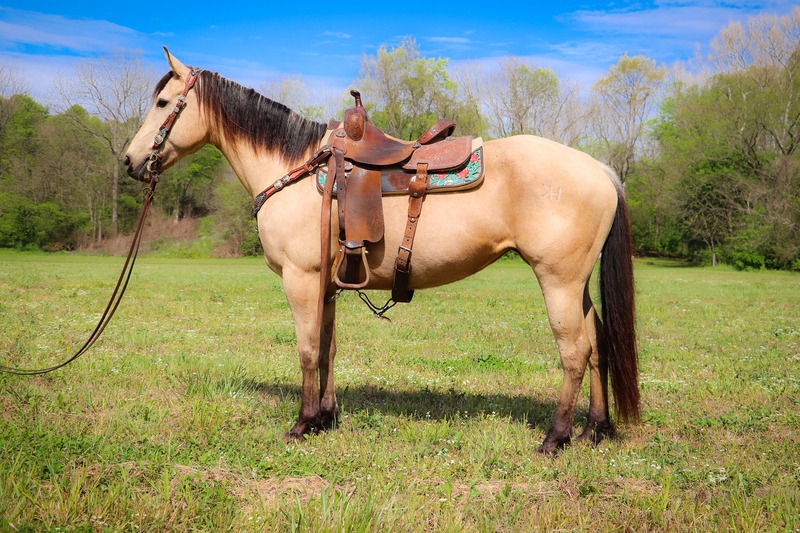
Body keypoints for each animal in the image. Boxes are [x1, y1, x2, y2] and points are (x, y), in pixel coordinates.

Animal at [124, 49, 639, 454]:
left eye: (164, 102)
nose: (130, 161)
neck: (295, 167)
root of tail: (600, 169)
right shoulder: (326, 285)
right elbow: (328, 348)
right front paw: (325, 418)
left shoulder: (300, 278)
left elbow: (307, 349)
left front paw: (301, 424)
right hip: (578, 285)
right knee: (597, 344)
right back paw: (594, 428)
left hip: (558, 281)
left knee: (575, 351)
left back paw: (556, 437)